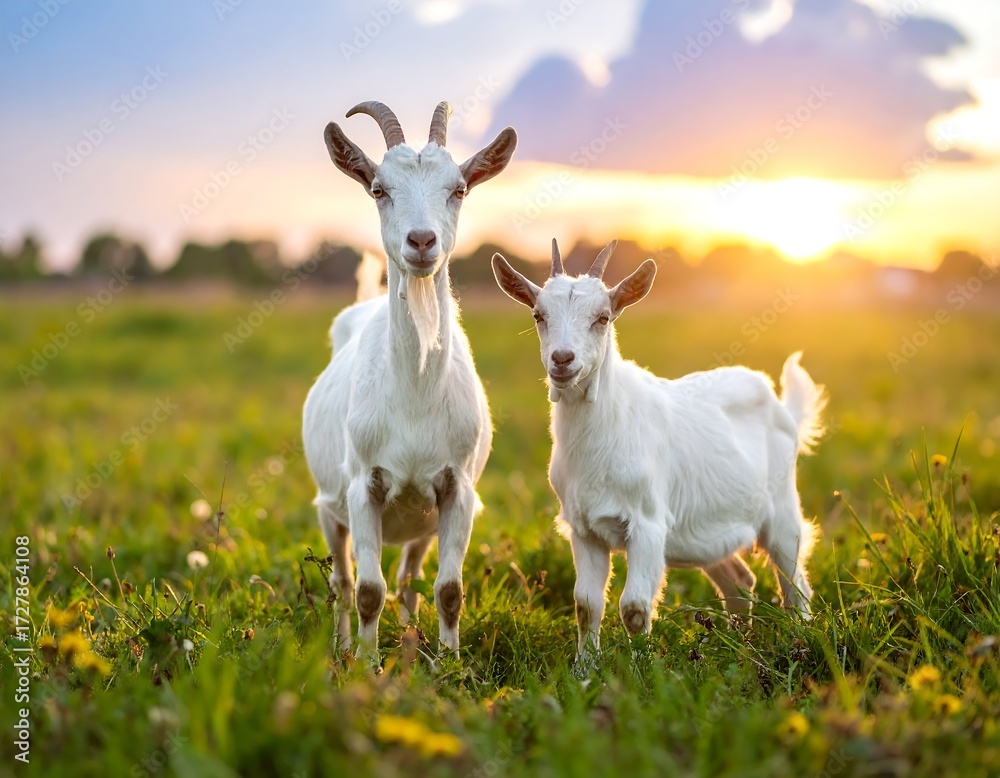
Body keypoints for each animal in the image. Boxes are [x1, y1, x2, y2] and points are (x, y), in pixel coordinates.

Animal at [303, 102, 517, 656]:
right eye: (379, 188)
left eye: (459, 188)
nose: (421, 241)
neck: (417, 397)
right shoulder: (363, 487)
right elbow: (367, 591)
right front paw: (365, 663)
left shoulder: (457, 490)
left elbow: (448, 590)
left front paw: (449, 662)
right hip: (329, 509)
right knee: (342, 582)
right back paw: (342, 647)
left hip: (421, 526)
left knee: (409, 580)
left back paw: (409, 644)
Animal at [491, 239, 826, 660]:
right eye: (538, 314)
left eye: (603, 317)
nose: (562, 360)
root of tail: (781, 405)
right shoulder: (583, 528)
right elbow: (586, 604)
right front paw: (585, 668)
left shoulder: (647, 523)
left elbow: (634, 608)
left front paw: (642, 667)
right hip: (704, 531)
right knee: (740, 580)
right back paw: (738, 645)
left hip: (782, 508)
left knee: (793, 578)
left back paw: (800, 637)